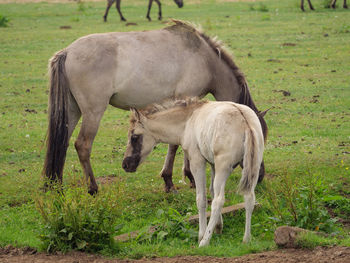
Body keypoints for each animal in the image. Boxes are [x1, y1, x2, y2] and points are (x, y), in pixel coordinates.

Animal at [43, 19, 268, 195]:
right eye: (257, 140)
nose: (259, 176)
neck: (204, 58)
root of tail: (67, 52)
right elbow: (176, 144)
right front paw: (177, 179)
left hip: (72, 110)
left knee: (61, 144)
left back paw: (55, 187)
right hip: (93, 112)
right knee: (82, 145)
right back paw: (93, 188)